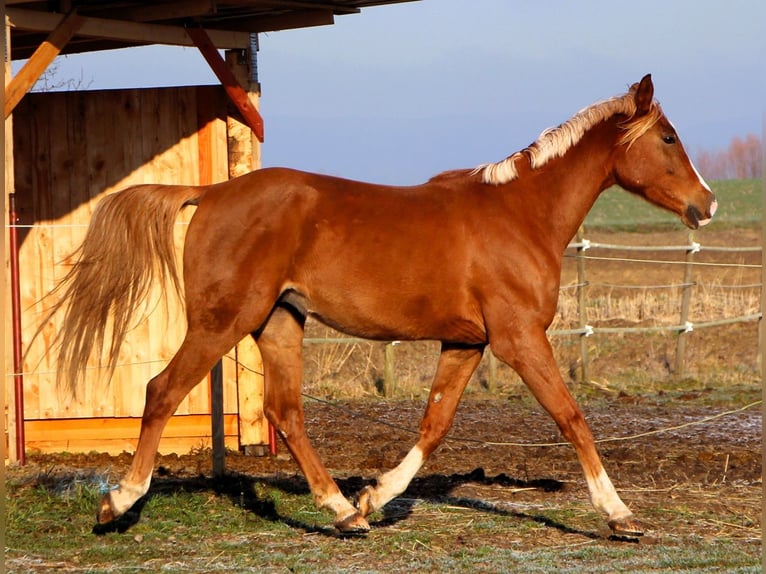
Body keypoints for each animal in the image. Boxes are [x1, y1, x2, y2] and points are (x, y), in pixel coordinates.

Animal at [43, 74, 716, 537]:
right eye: (668, 137)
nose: (706, 204)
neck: (520, 214)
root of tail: (210, 194)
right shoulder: (519, 338)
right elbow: (571, 417)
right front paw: (620, 515)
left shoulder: (467, 342)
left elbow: (433, 426)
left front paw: (375, 496)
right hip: (222, 322)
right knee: (162, 391)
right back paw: (118, 503)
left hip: (279, 322)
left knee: (286, 412)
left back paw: (344, 512)